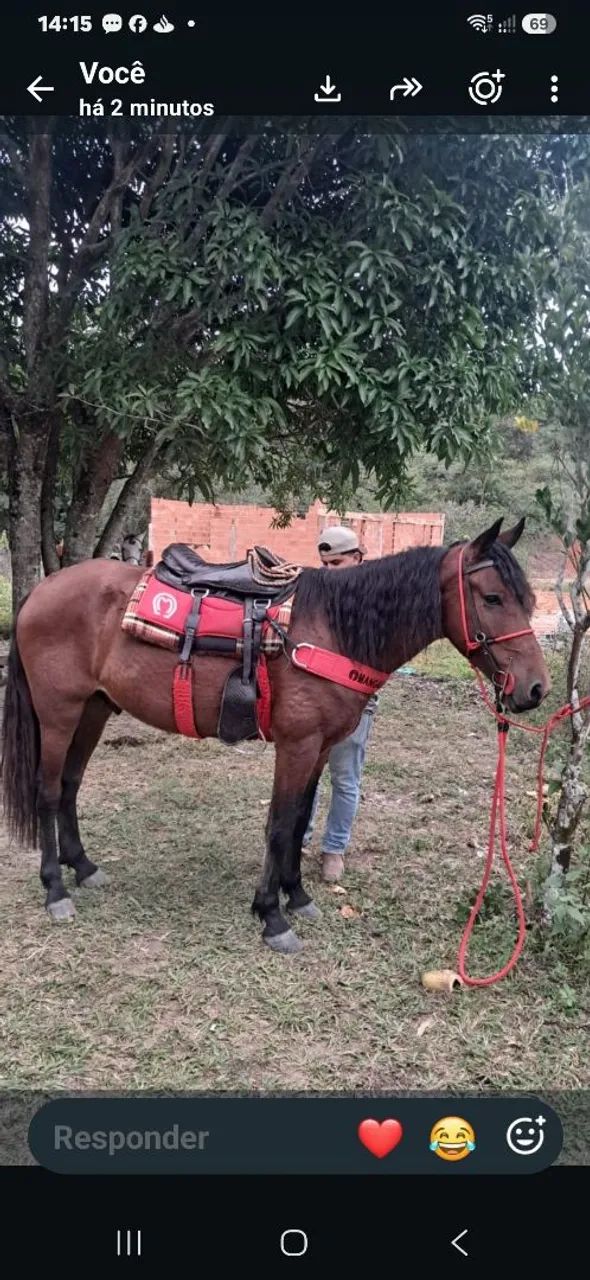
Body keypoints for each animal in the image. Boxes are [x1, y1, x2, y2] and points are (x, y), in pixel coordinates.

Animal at [1, 516, 550, 955]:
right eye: (493, 598)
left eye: (528, 600)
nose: (535, 688)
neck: (331, 630)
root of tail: (39, 592)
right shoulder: (297, 744)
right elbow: (281, 824)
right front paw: (271, 915)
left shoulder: (322, 746)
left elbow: (302, 816)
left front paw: (297, 895)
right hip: (59, 713)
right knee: (48, 792)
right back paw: (56, 889)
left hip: (94, 709)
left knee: (70, 785)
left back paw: (83, 866)